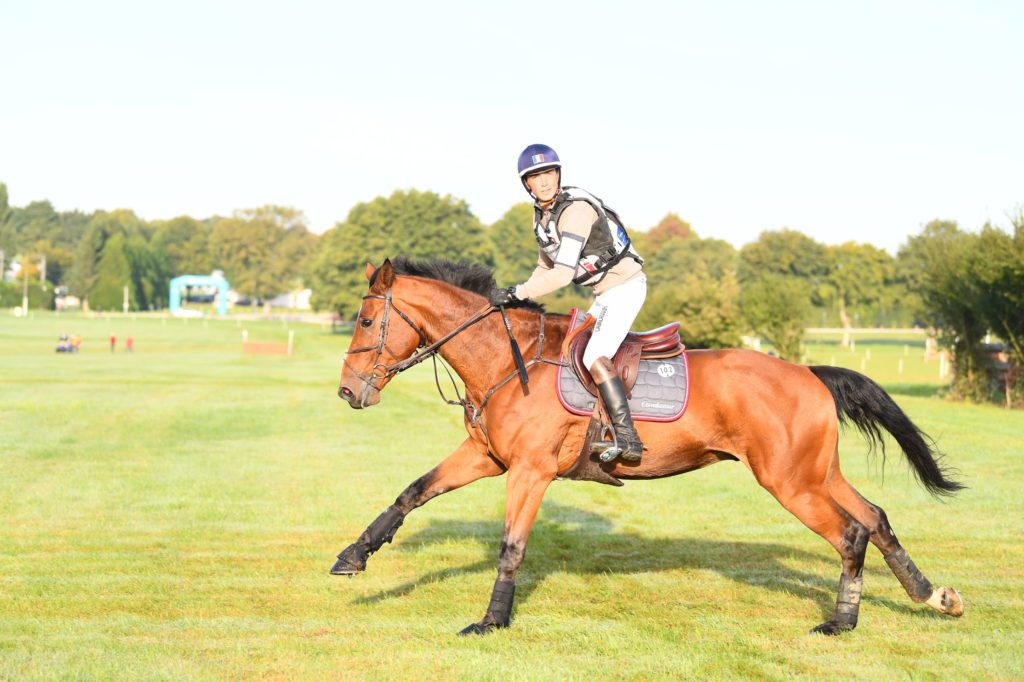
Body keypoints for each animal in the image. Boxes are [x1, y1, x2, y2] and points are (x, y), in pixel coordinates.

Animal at [331, 254, 962, 630]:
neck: (508, 361)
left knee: (852, 532)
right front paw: (354, 555)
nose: (347, 392)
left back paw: (842, 621)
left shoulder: (530, 471)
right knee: (876, 518)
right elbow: (413, 492)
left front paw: (492, 621)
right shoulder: (486, 457)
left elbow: (511, 546)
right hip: (816, 473)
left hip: (788, 481)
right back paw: (933, 596)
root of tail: (807, 372)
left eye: (364, 322)